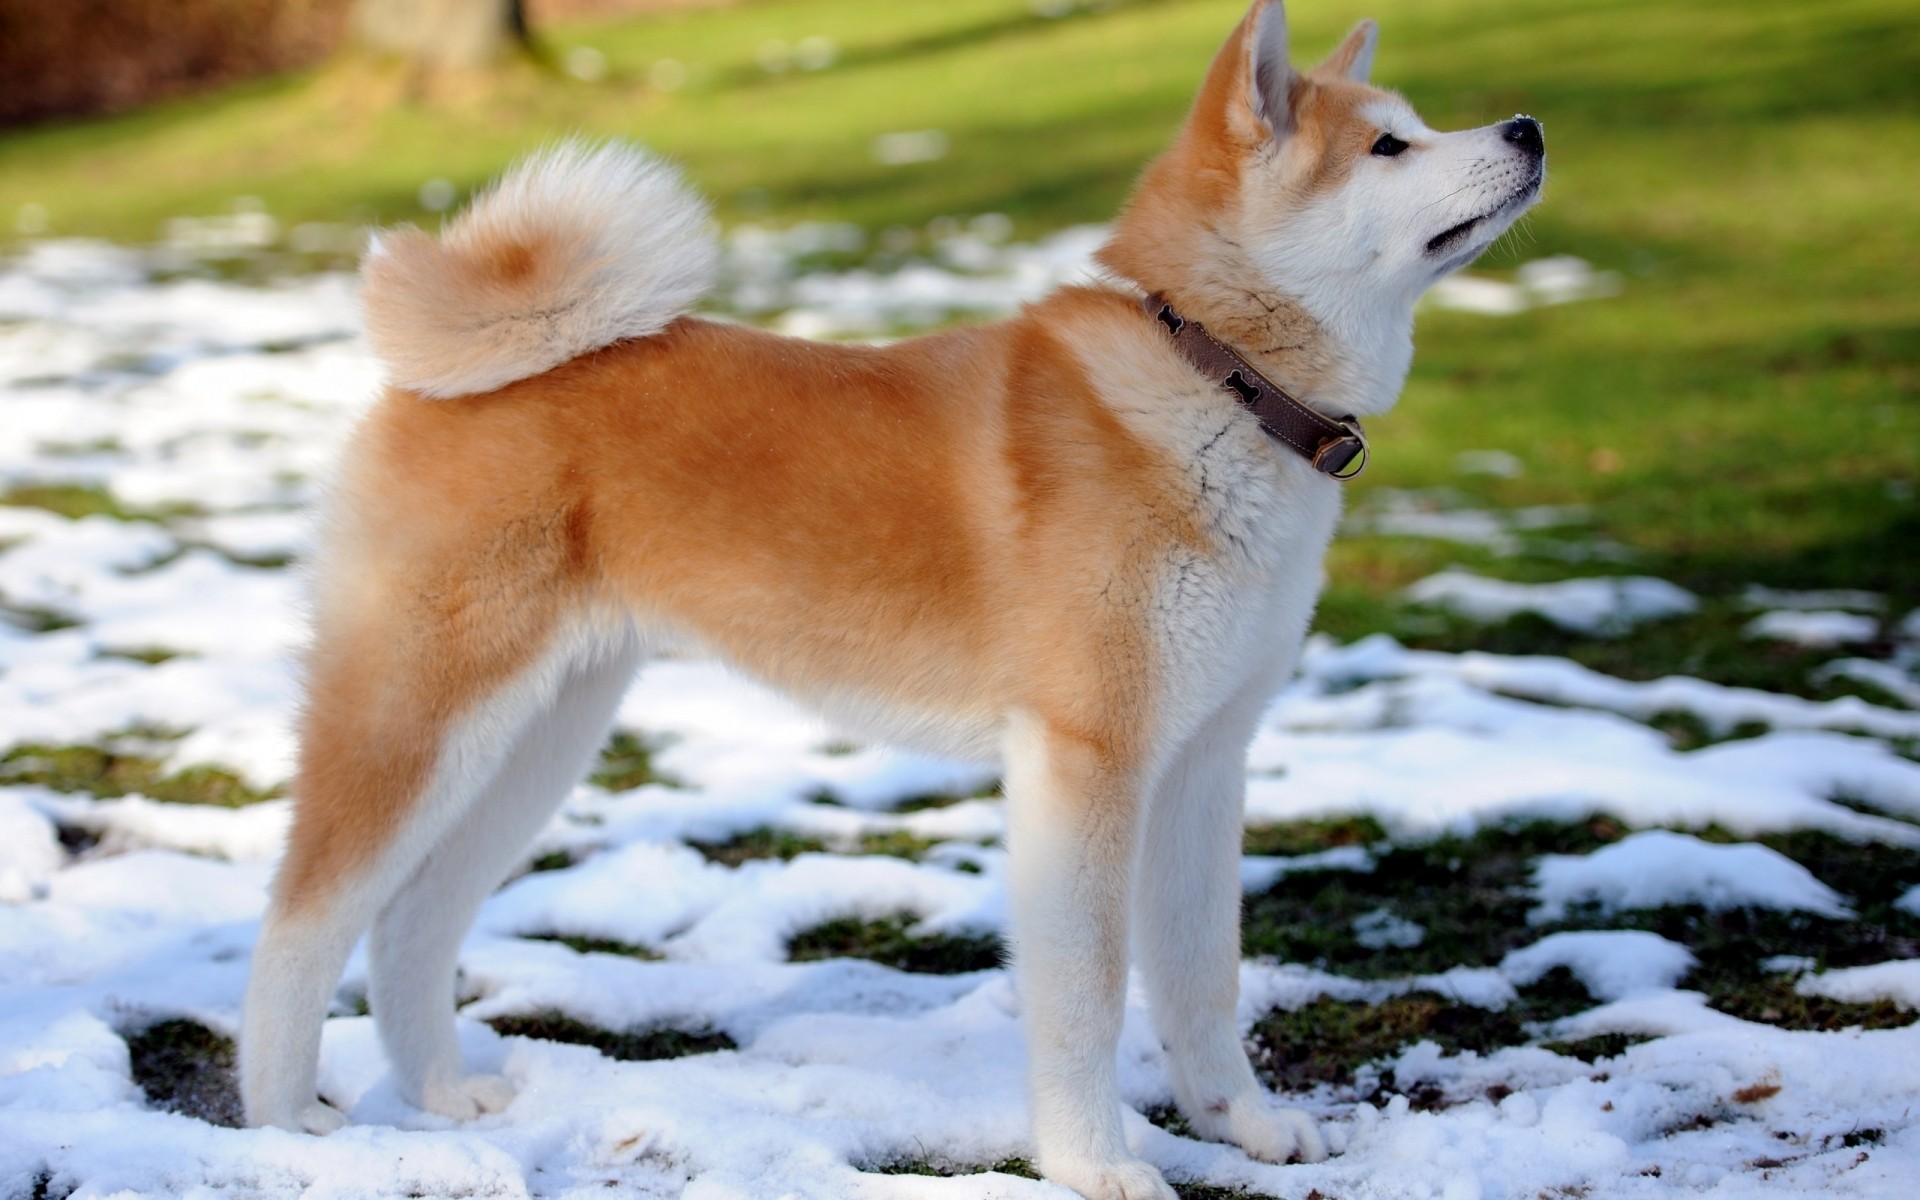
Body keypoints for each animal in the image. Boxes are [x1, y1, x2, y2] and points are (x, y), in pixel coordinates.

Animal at [240, 4, 1536, 1190]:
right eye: (1388, 147)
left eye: (1419, 125)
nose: (1525, 128)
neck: (1216, 380)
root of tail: (446, 376)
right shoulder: (1087, 760)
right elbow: (1089, 995)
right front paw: (1095, 1164)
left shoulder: (1205, 761)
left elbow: (1201, 977)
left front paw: (1245, 1127)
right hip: (420, 718)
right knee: (302, 917)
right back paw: (285, 1122)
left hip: (539, 737)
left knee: (413, 922)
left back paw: (443, 1096)